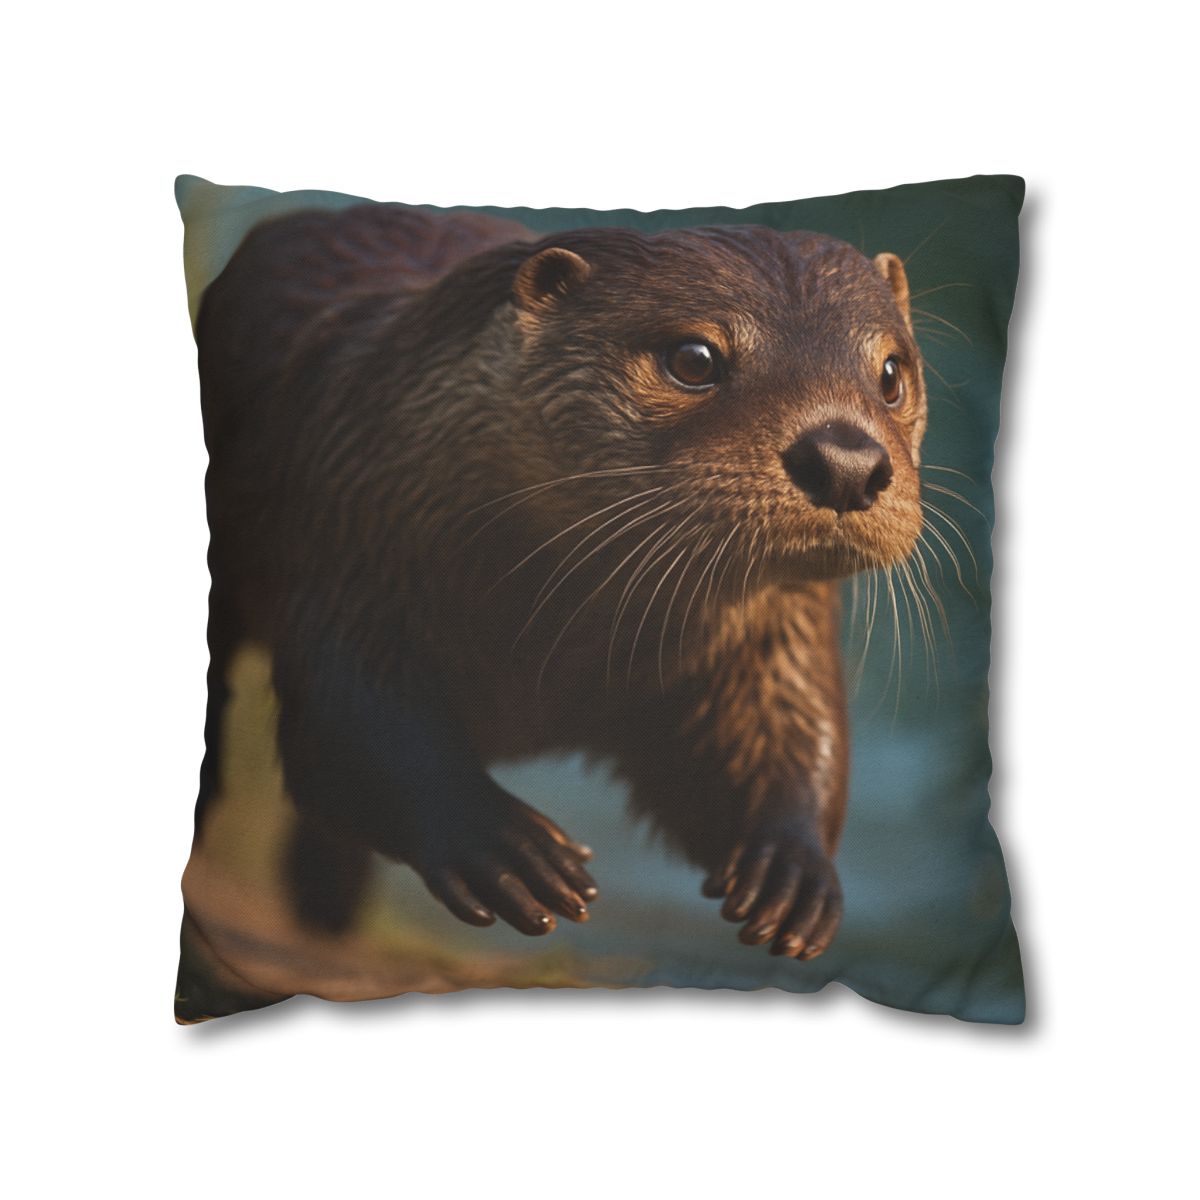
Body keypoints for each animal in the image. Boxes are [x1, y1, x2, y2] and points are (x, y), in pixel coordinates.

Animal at [195, 204, 926, 962]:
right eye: (695, 359)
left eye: (891, 373)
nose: (846, 461)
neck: (555, 641)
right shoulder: (352, 533)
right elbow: (353, 726)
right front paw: (503, 846)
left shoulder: (775, 633)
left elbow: (781, 731)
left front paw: (793, 871)